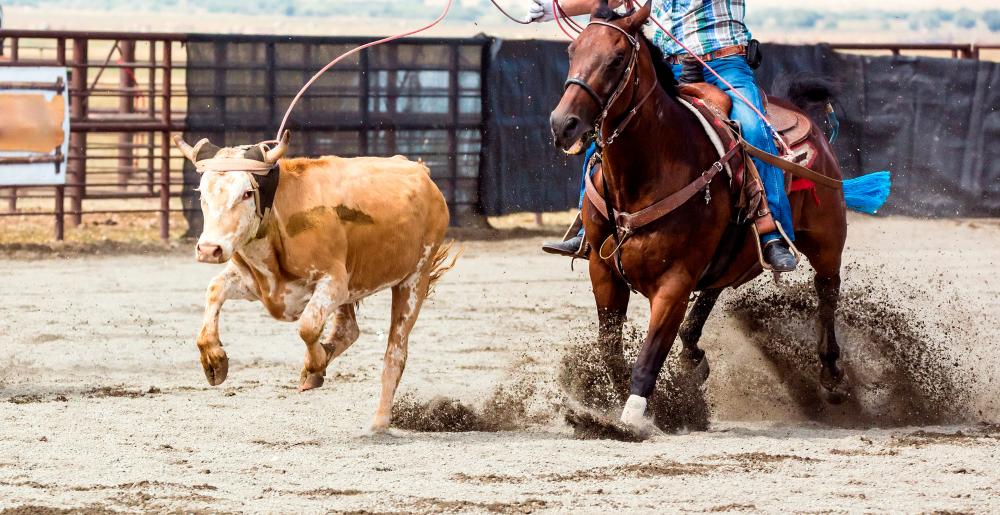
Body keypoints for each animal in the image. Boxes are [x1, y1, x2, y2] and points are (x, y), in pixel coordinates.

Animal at [174, 132, 456, 432]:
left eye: (247, 193)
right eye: (202, 194)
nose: (209, 249)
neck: (278, 218)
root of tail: (421, 172)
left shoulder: (333, 283)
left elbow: (308, 327)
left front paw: (315, 363)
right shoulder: (255, 283)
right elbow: (214, 291)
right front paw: (214, 361)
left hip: (414, 279)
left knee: (395, 353)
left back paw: (379, 421)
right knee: (348, 329)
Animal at [552, 2, 880, 426]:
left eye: (616, 59)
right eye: (572, 51)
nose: (563, 124)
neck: (650, 169)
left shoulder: (674, 282)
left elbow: (647, 358)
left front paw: (632, 421)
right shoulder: (603, 269)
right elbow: (611, 352)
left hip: (826, 238)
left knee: (827, 292)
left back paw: (832, 375)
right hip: (732, 253)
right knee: (715, 289)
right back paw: (693, 358)